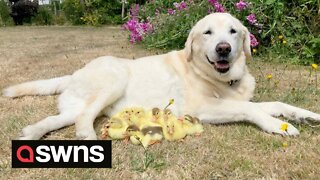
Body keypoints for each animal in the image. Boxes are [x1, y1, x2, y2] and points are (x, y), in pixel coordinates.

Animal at [3, 13, 320, 141]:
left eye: (233, 31)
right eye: (208, 33)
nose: (224, 49)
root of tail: (74, 73)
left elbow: (274, 104)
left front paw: (306, 115)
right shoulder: (202, 108)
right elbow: (250, 109)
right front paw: (278, 126)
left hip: (74, 106)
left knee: (56, 119)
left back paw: (31, 133)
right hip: (115, 78)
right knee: (84, 120)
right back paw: (88, 137)